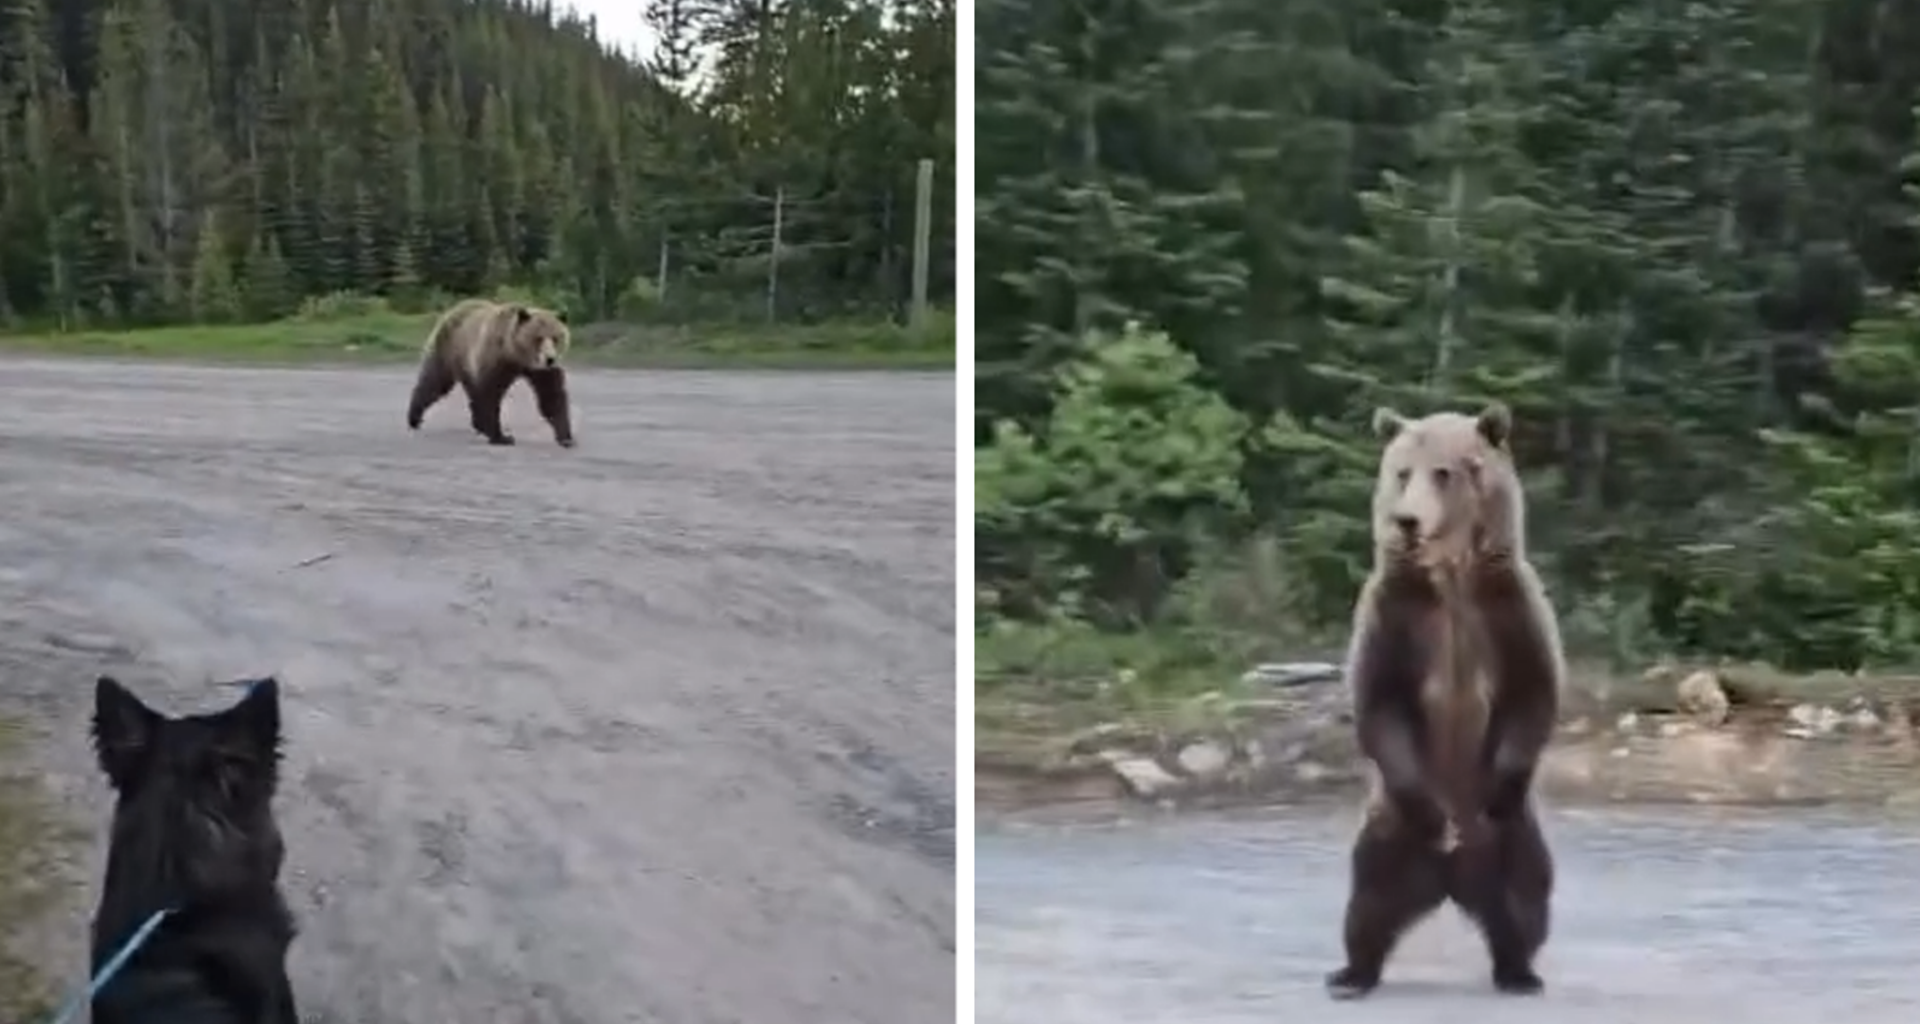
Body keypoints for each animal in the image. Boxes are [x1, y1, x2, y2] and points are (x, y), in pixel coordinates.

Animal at [406, 297, 576, 447]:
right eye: (538, 338)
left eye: (556, 338)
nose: (550, 358)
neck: (516, 355)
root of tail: (456, 307)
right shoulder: (496, 359)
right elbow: (490, 394)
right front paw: (502, 437)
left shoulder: (541, 371)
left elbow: (551, 395)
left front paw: (567, 438)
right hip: (448, 348)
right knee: (435, 380)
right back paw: (414, 418)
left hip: (466, 363)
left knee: (471, 390)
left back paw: (477, 424)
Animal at [1323, 401, 1564, 1000]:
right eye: (1401, 472)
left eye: (1444, 472)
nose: (1406, 521)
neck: (1451, 582)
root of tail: (1452, 878)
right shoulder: (1396, 614)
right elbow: (1380, 701)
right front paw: (1434, 817)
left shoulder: (1508, 609)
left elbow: (1532, 692)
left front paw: (1499, 789)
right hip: (1388, 829)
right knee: (1368, 898)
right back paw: (1352, 973)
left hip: (1515, 839)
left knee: (1525, 898)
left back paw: (1519, 971)